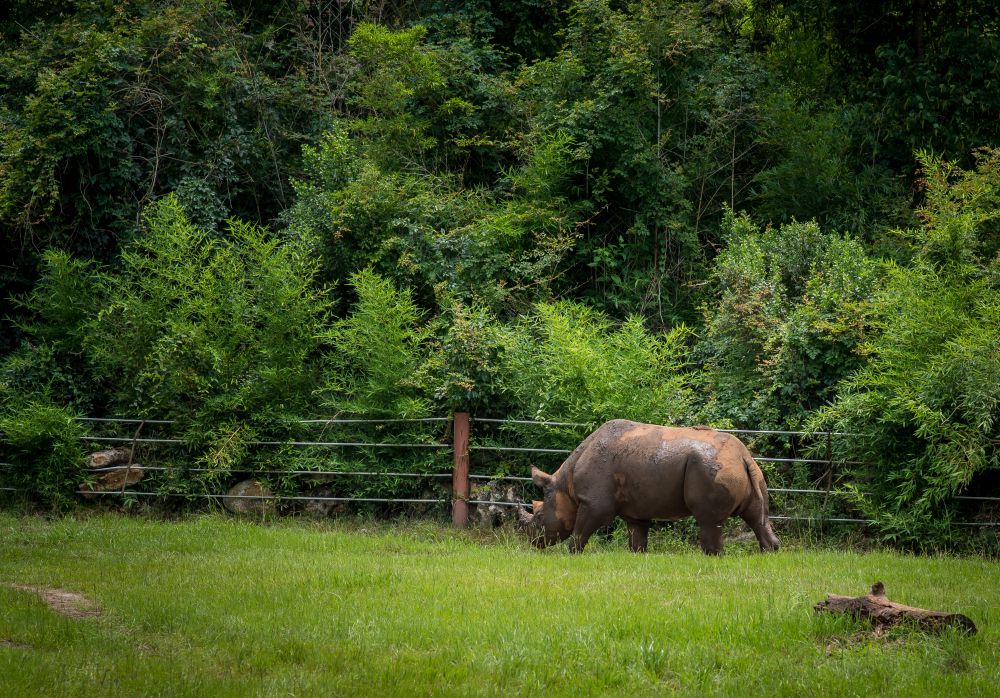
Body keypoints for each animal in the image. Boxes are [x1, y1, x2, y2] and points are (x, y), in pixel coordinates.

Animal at [518, 419, 780, 555]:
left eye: (539, 516)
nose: (532, 543)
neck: (566, 484)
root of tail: (742, 455)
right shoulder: (637, 510)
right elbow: (637, 536)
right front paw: (637, 555)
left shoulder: (594, 504)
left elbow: (580, 531)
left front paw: (571, 553)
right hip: (748, 470)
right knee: (758, 517)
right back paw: (769, 552)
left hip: (710, 467)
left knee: (708, 520)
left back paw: (711, 557)